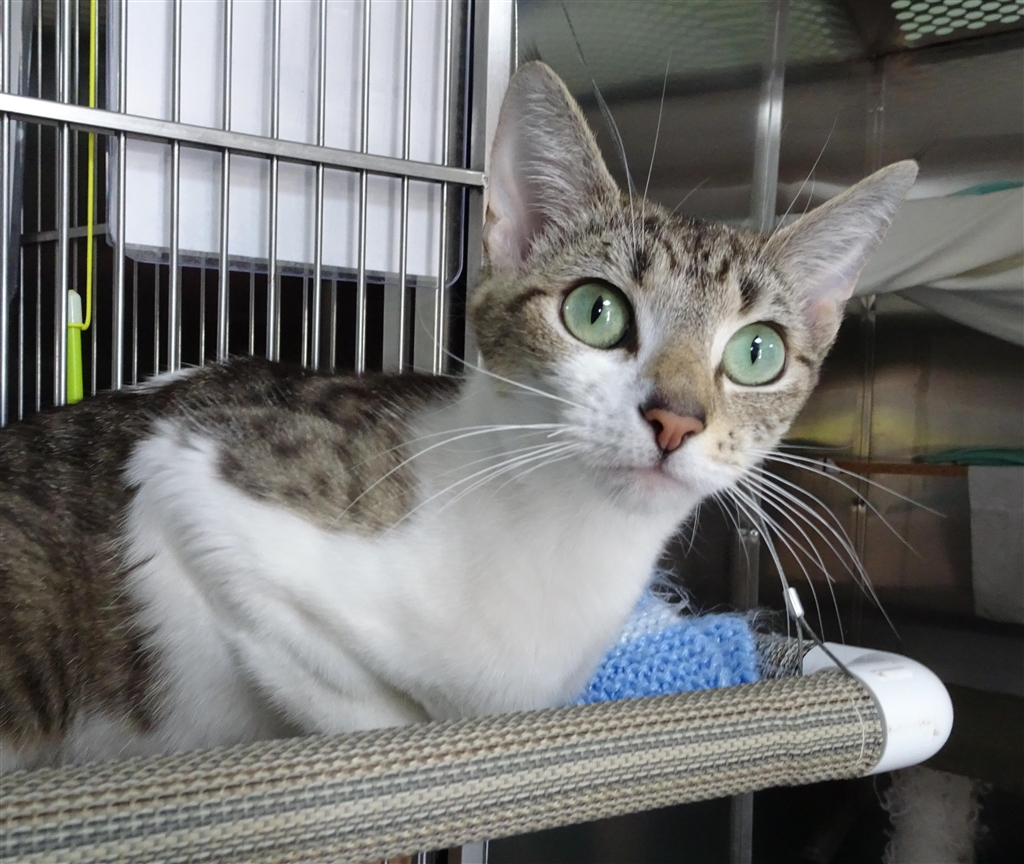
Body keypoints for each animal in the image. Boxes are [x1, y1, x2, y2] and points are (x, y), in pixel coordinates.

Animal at [0, 61, 916, 773]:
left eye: (757, 352)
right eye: (596, 311)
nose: (676, 419)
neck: (564, 543)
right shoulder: (192, 473)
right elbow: (370, 711)